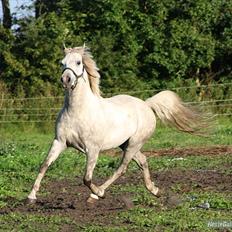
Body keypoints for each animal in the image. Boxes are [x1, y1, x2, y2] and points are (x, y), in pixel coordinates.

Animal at [27, 45, 208, 203]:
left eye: (78, 62)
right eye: (62, 63)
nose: (66, 79)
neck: (77, 111)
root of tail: (146, 104)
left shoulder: (92, 149)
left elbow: (86, 178)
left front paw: (98, 192)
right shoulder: (59, 142)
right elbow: (44, 165)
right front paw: (31, 196)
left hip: (134, 143)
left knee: (122, 168)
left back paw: (97, 194)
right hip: (126, 144)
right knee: (142, 161)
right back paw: (155, 190)